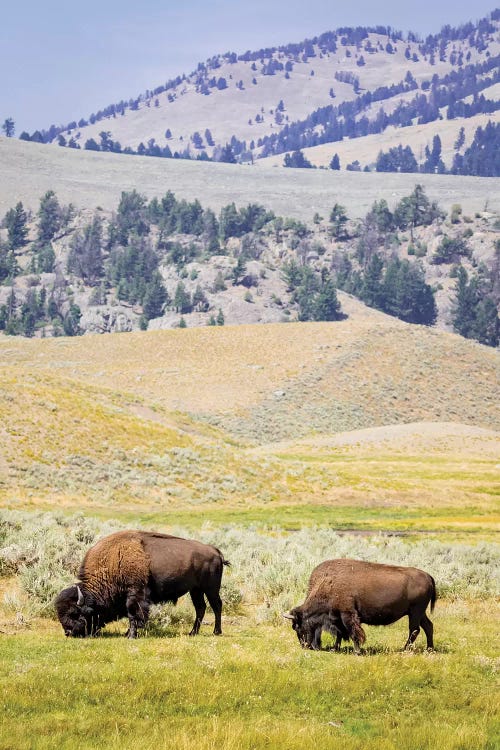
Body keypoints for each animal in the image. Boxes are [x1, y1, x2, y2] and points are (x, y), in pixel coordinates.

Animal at [53, 528, 229, 640]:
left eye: (75, 614)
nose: (68, 632)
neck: (113, 561)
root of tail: (214, 551)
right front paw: (127, 633)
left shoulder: (135, 593)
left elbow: (133, 613)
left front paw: (131, 635)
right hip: (195, 590)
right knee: (201, 608)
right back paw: (192, 633)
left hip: (210, 588)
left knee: (216, 605)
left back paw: (216, 632)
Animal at [284, 560, 436, 656]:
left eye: (297, 626)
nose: (305, 645)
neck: (328, 583)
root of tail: (428, 576)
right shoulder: (338, 618)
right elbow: (340, 634)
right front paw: (335, 649)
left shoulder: (348, 615)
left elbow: (353, 633)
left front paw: (357, 651)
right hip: (419, 613)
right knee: (428, 626)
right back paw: (429, 649)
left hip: (415, 612)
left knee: (414, 630)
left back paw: (404, 649)